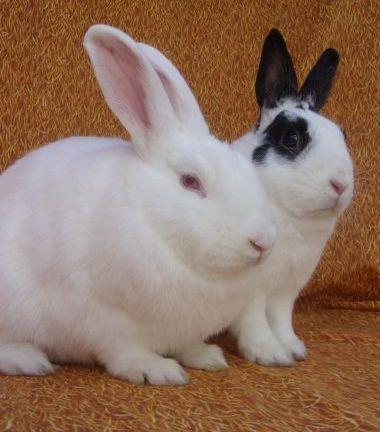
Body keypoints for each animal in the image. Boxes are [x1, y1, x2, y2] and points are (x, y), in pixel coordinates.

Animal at [0, 24, 276, 384]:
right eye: (190, 182)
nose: (263, 241)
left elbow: (187, 345)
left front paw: (208, 357)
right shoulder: (106, 321)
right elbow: (125, 352)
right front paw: (159, 371)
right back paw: (30, 360)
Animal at [229, 29, 356, 364]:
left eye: (343, 135)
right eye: (291, 138)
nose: (341, 184)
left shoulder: (287, 291)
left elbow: (282, 320)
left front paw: (294, 348)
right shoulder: (252, 290)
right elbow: (256, 321)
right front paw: (271, 354)